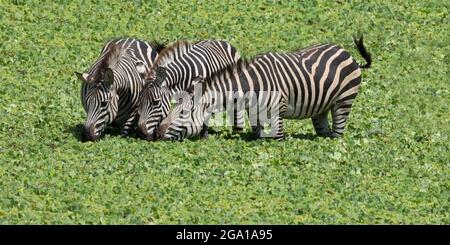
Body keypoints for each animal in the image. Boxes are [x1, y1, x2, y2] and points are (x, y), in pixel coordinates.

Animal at [156, 35, 370, 141]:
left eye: (183, 113)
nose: (156, 134)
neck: (250, 87)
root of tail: (346, 53)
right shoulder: (255, 113)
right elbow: (258, 135)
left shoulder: (278, 111)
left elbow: (278, 138)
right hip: (322, 106)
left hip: (343, 101)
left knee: (338, 133)